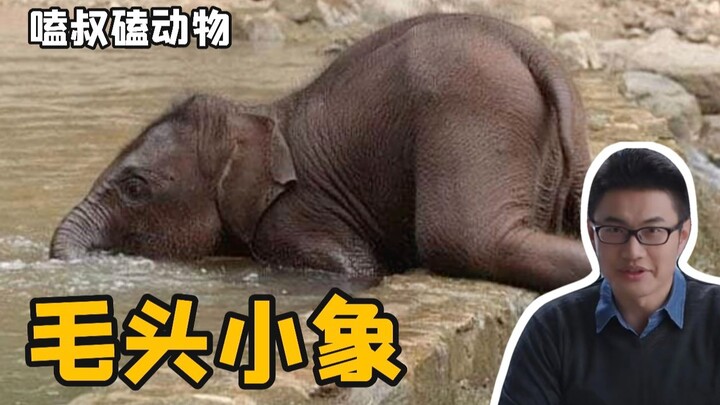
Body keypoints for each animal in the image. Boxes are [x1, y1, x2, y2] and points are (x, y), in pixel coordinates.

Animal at [51, 13, 592, 291]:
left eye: (134, 188)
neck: (257, 115)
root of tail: (528, 47)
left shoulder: (294, 218)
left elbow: (354, 267)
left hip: (472, 111)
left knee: (468, 242)